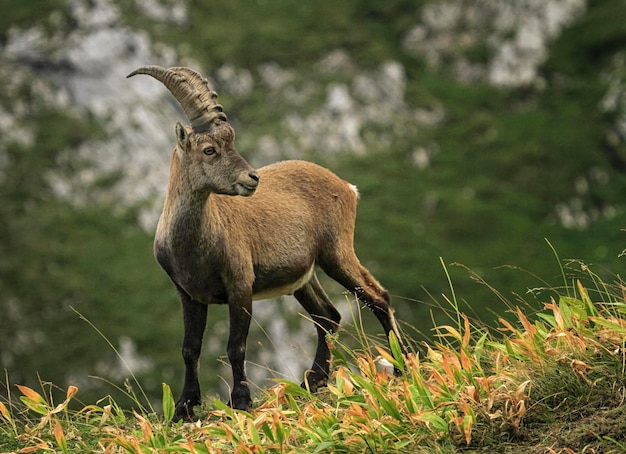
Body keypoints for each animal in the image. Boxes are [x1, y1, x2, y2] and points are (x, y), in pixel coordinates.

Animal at [127, 65, 404, 420]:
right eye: (209, 149)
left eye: (230, 142)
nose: (252, 178)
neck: (194, 245)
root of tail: (346, 186)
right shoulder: (188, 294)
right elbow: (190, 348)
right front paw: (184, 407)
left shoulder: (240, 285)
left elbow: (236, 346)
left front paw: (240, 402)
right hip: (304, 277)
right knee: (327, 316)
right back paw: (313, 381)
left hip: (337, 253)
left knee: (377, 297)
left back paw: (401, 367)